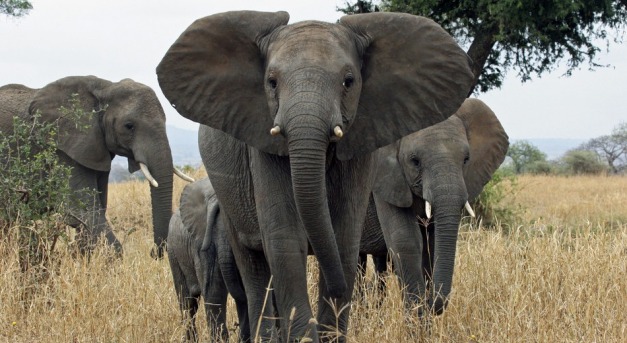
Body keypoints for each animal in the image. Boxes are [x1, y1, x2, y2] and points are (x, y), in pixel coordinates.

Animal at [0, 77, 194, 255]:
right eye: (129, 126)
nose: (153, 252)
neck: (106, 87)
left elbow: (95, 209)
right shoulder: (63, 150)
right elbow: (85, 212)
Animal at [360, 97, 512, 318]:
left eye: (466, 159)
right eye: (414, 161)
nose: (432, 302)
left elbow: (430, 246)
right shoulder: (385, 177)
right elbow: (406, 242)